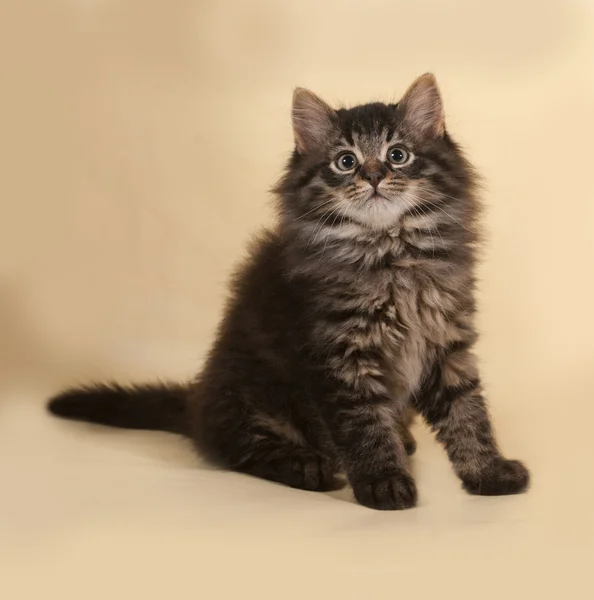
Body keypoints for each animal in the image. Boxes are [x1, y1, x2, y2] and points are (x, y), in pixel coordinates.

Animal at [47, 72, 528, 508]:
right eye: (345, 162)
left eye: (398, 154)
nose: (374, 175)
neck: (391, 254)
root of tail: (197, 400)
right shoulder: (339, 356)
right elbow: (363, 427)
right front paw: (384, 483)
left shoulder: (446, 342)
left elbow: (467, 415)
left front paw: (489, 472)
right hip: (247, 390)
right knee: (242, 446)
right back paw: (309, 465)